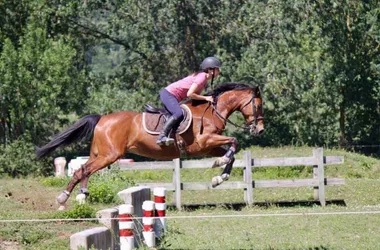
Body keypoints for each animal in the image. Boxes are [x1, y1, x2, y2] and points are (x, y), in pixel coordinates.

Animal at [36, 82, 264, 205]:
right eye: (259, 105)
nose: (260, 130)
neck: (212, 111)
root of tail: (102, 118)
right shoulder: (204, 142)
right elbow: (234, 142)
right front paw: (220, 166)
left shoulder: (209, 147)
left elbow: (231, 153)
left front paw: (219, 177)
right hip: (109, 155)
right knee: (81, 170)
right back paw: (63, 197)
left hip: (99, 154)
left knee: (84, 169)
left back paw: (81, 195)